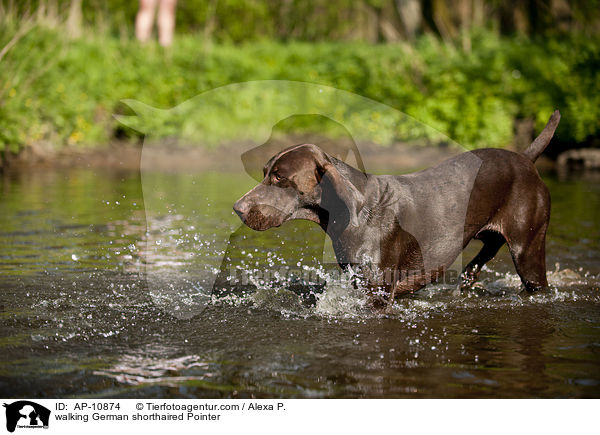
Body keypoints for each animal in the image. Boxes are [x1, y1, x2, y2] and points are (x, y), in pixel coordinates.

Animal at [232, 110, 560, 306]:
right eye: (266, 171)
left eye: (279, 177)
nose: (237, 208)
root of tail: (525, 159)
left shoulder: (376, 294)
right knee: (476, 265)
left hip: (528, 251)